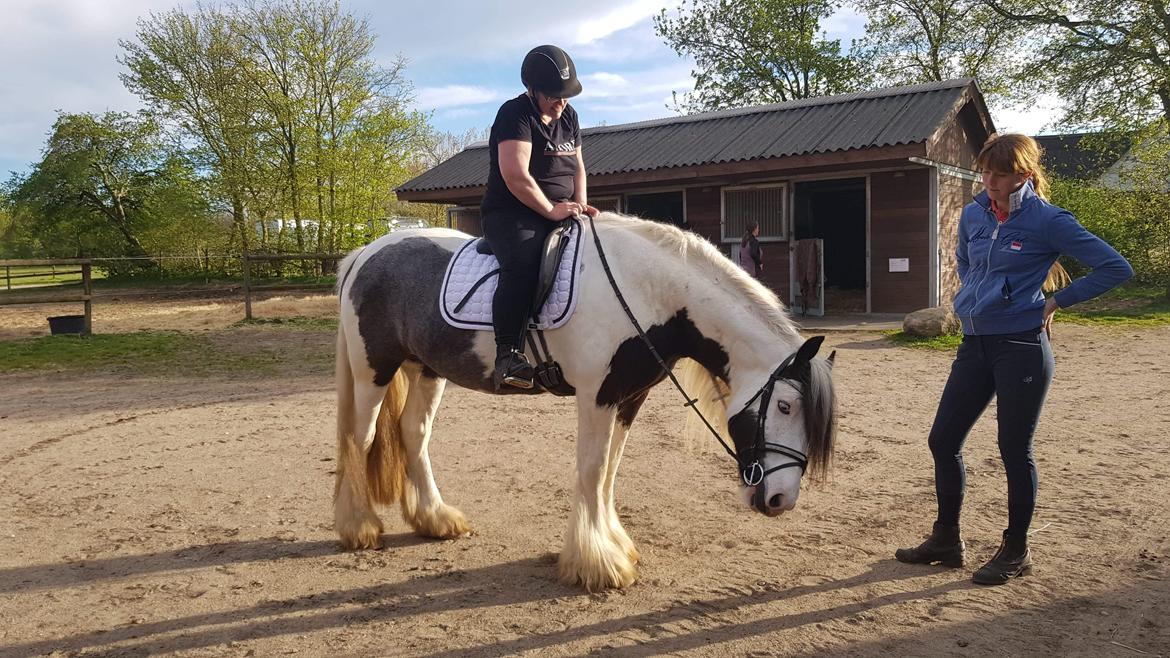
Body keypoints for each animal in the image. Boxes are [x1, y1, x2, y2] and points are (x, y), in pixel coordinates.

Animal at [334, 210, 837, 590]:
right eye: (786, 407)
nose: (781, 499)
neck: (648, 293)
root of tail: (364, 254)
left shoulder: (629, 397)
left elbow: (610, 470)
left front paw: (616, 545)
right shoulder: (597, 395)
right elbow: (592, 470)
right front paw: (597, 563)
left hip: (426, 370)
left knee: (413, 434)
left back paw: (435, 519)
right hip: (373, 369)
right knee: (359, 437)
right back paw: (359, 527)